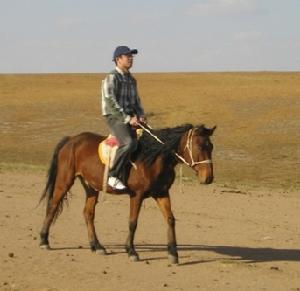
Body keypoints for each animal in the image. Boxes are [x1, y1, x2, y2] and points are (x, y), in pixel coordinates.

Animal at [38, 123, 216, 264]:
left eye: (211, 147)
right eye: (200, 146)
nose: (208, 178)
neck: (152, 159)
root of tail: (71, 140)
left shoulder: (162, 193)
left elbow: (170, 220)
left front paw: (173, 253)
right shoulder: (136, 195)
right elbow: (133, 222)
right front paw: (131, 251)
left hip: (91, 187)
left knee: (88, 213)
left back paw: (97, 246)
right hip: (65, 181)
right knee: (53, 206)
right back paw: (44, 240)